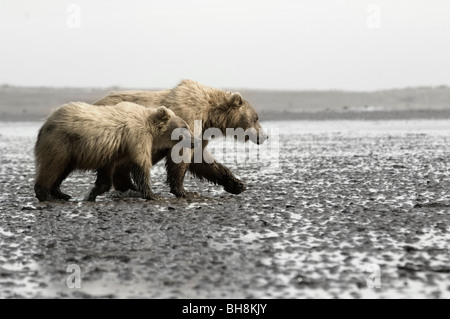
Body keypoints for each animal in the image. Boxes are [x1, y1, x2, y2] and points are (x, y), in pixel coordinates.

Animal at [94, 80, 268, 198]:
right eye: (256, 118)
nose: (265, 136)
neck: (210, 115)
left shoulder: (202, 131)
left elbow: (201, 158)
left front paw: (237, 184)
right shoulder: (188, 118)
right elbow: (181, 154)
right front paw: (183, 190)